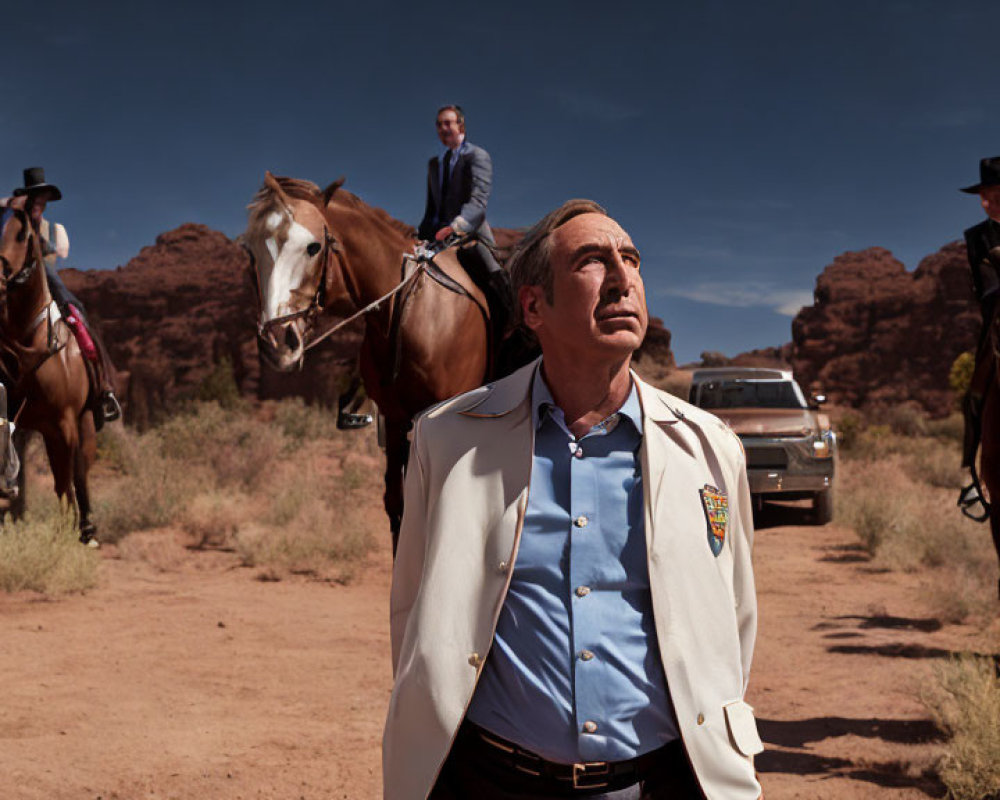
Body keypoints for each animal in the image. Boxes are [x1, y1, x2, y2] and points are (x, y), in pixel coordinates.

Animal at [0, 198, 98, 544]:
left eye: (22, 234)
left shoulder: (63, 424)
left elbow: (65, 485)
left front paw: (67, 534)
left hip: (82, 421)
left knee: (80, 471)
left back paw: (88, 528)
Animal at [243, 173, 492, 552]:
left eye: (313, 247)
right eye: (250, 251)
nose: (276, 344)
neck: (409, 310)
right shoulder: (396, 419)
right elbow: (398, 505)